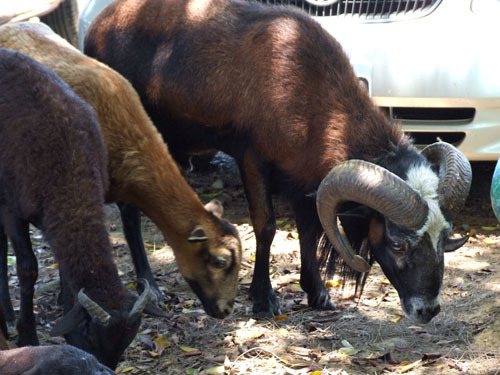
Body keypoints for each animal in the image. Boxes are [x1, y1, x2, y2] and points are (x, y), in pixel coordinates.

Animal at [0, 48, 150, 368]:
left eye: (125, 344)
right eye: (90, 333)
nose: (101, 369)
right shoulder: (11, 210)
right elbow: (27, 268)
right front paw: (27, 334)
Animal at [84, 0, 470, 324]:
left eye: (444, 237)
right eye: (397, 243)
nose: (428, 310)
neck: (306, 91)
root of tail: (95, 29)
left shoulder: (303, 177)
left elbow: (309, 228)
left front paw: (318, 295)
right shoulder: (252, 158)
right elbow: (266, 225)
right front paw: (263, 300)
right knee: (130, 210)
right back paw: (150, 291)